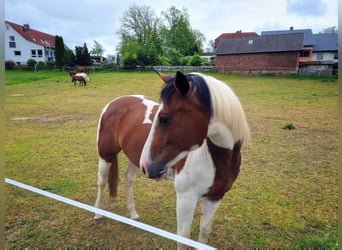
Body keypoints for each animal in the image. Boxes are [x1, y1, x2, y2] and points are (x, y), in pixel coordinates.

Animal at [93, 71, 248, 249]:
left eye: (165, 119)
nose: (148, 166)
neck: (217, 158)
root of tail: (113, 103)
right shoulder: (186, 197)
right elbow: (183, 237)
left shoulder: (215, 197)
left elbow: (204, 232)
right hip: (106, 154)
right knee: (101, 182)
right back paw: (97, 215)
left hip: (134, 158)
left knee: (129, 179)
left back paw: (133, 215)